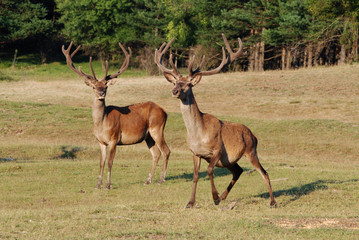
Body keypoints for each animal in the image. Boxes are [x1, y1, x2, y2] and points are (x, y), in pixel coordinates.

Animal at [62, 41, 171, 188]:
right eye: (94, 86)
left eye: (106, 86)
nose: (101, 93)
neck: (101, 124)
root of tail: (164, 111)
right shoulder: (100, 142)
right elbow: (101, 163)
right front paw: (98, 185)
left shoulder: (114, 138)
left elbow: (110, 162)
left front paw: (108, 185)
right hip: (148, 135)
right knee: (156, 153)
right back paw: (147, 180)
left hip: (157, 128)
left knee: (166, 150)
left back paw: (161, 180)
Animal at [155, 34, 278, 208]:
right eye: (175, 82)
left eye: (188, 84)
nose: (175, 91)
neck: (198, 134)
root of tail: (254, 136)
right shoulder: (195, 152)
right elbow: (195, 176)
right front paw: (191, 202)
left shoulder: (218, 149)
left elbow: (209, 170)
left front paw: (214, 196)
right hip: (229, 161)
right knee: (238, 171)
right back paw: (224, 197)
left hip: (251, 151)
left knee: (264, 172)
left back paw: (273, 202)